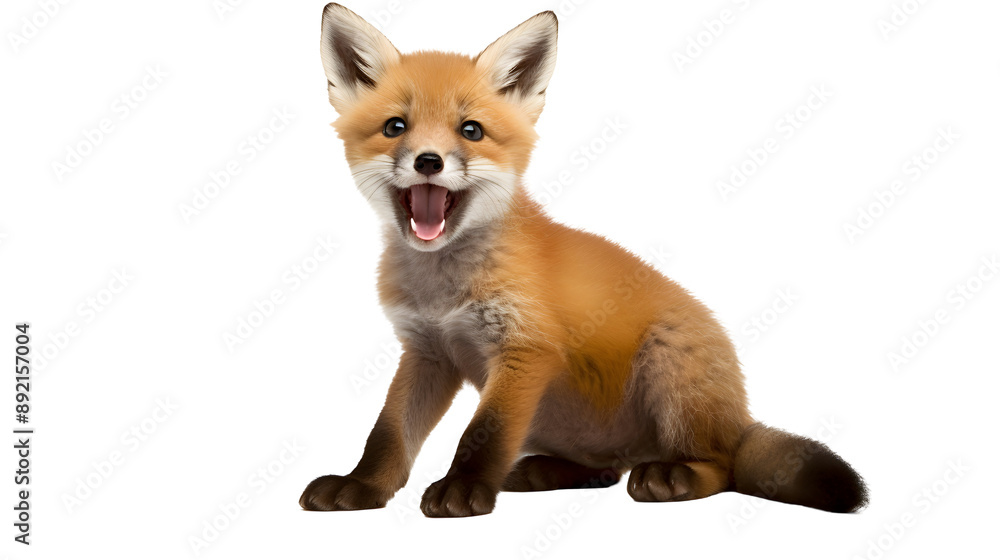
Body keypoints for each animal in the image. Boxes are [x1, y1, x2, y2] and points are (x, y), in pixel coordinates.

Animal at [299, 3, 868, 518]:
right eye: (396, 126)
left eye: (471, 131)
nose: (429, 161)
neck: (444, 290)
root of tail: (739, 416)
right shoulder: (426, 351)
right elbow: (389, 432)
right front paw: (362, 485)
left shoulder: (525, 352)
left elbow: (483, 432)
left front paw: (463, 488)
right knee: (608, 469)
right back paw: (547, 471)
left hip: (670, 367)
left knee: (721, 466)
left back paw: (673, 476)